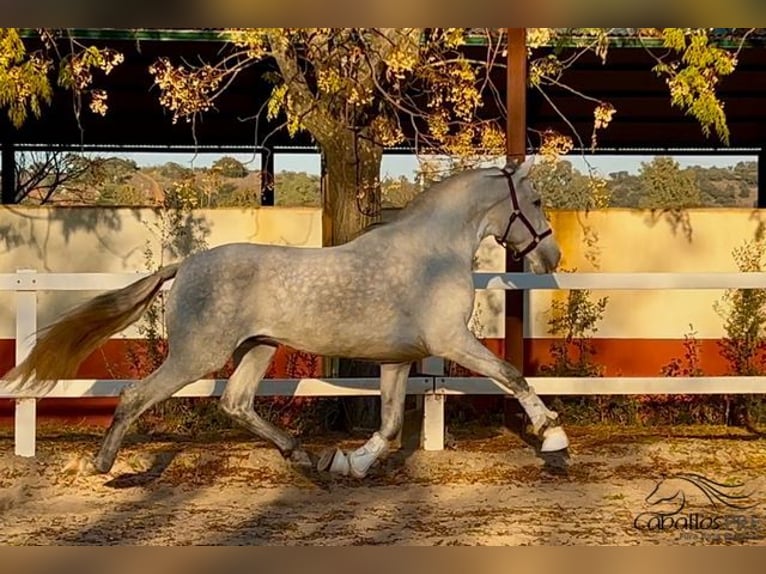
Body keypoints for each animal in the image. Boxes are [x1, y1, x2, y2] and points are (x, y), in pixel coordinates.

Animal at [6, 155, 568, 480]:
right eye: (537, 199)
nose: (552, 257)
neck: (433, 253)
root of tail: (183, 265)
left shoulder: (398, 358)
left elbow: (388, 426)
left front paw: (349, 463)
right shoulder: (451, 340)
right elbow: (512, 374)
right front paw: (553, 439)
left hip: (259, 348)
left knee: (235, 403)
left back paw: (302, 455)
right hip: (197, 355)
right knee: (134, 396)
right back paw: (103, 466)